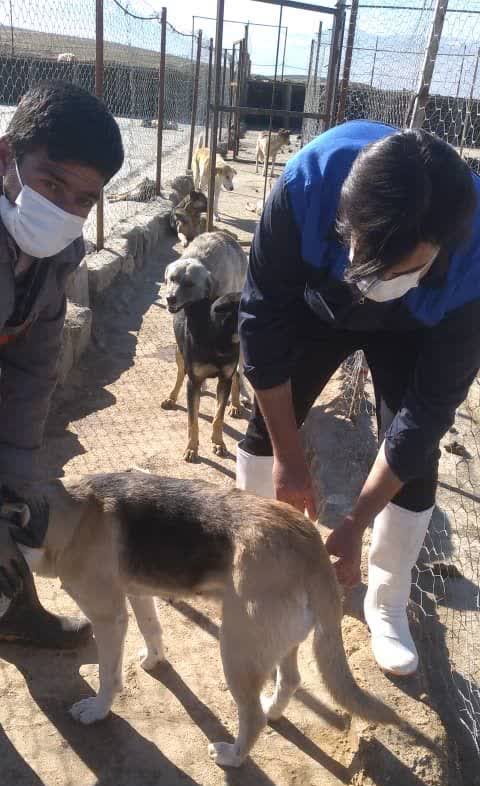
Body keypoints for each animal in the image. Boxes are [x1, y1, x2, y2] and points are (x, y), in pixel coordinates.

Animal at [161, 290, 242, 456]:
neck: (219, 335)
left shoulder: (225, 380)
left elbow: (218, 417)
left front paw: (218, 442)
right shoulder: (194, 382)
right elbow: (193, 420)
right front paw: (191, 447)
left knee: (236, 375)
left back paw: (235, 405)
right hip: (179, 352)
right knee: (180, 374)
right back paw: (171, 398)